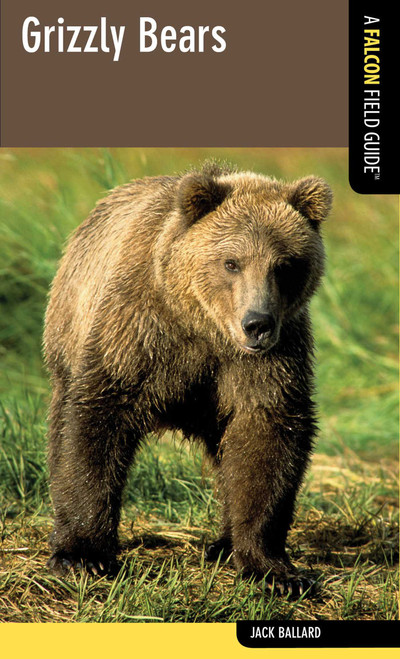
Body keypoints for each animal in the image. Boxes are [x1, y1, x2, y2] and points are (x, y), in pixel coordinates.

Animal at [43, 162, 332, 595]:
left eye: (285, 265)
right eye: (231, 262)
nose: (257, 324)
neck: (203, 326)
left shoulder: (268, 361)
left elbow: (265, 436)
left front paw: (273, 569)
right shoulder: (139, 331)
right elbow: (96, 422)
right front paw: (83, 555)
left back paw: (223, 545)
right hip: (69, 327)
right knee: (63, 421)